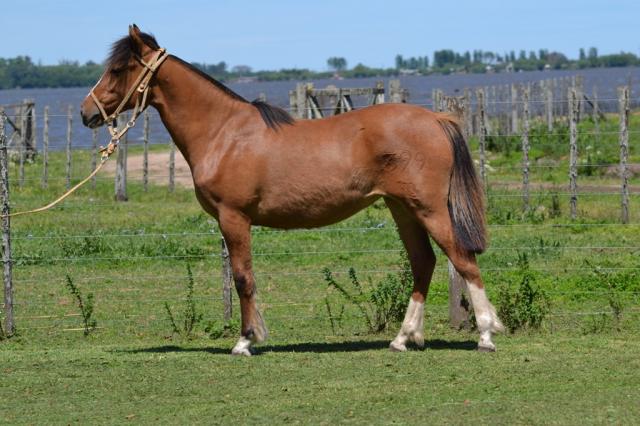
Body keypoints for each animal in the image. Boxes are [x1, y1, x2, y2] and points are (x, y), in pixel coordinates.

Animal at [81, 25, 504, 356]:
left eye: (118, 68)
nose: (87, 112)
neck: (224, 133)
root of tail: (436, 118)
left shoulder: (234, 218)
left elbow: (243, 278)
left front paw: (246, 340)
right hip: (402, 208)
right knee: (424, 262)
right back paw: (403, 338)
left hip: (429, 209)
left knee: (463, 259)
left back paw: (485, 333)